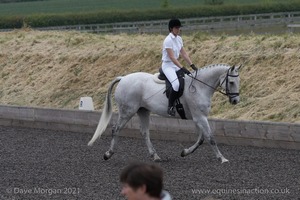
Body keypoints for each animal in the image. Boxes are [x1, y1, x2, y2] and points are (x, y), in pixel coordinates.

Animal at [88, 63, 240, 163]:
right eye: (231, 82)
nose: (235, 100)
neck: (200, 86)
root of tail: (123, 78)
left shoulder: (198, 118)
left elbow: (202, 138)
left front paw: (185, 152)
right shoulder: (200, 117)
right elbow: (210, 138)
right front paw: (222, 158)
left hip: (143, 111)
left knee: (144, 132)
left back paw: (154, 156)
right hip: (127, 111)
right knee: (116, 129)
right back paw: (108, 154)